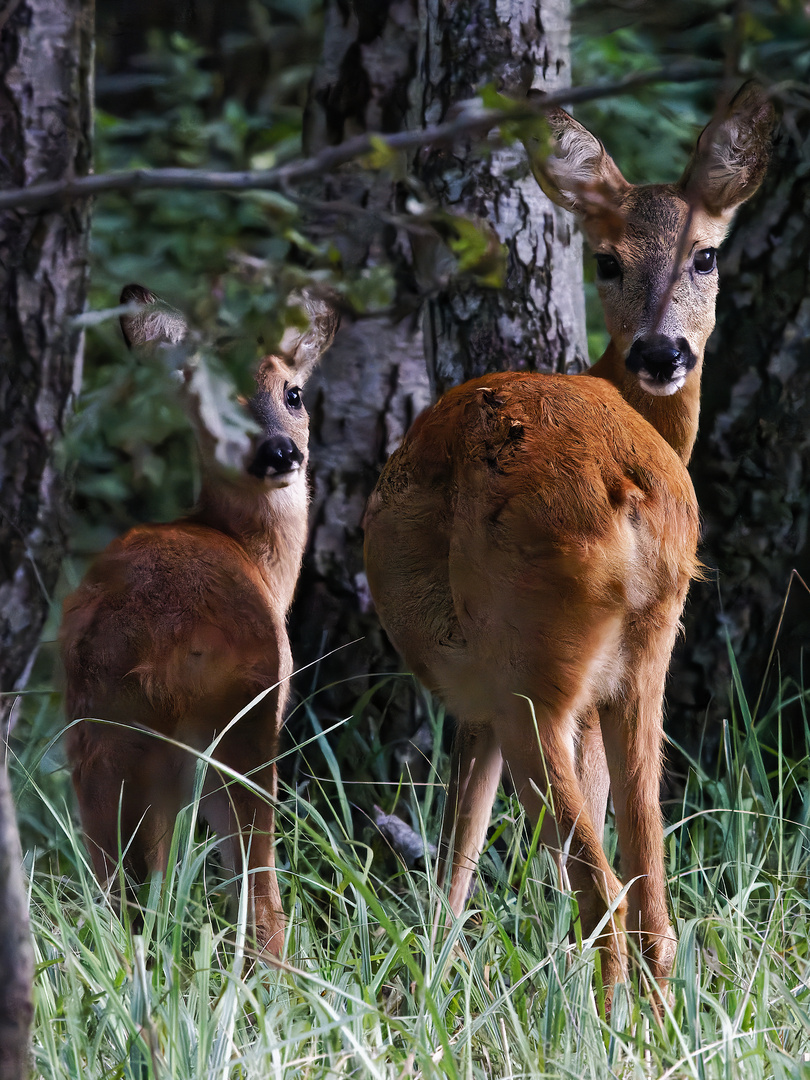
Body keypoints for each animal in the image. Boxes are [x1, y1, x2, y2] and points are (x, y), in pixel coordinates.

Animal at [61, 282, 336, 959]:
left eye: (293, 393)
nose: (281, 452)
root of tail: (150, 646)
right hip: (238, 720)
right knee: (253, 877)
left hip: (95, 731)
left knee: (120, 882)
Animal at [365, 86, 777, 1002]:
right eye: (607, 262)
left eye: (706, 256)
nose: (662, 351)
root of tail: (627, 486)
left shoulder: (477, 700)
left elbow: (460, 851)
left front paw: (432, 981)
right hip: (647, 654)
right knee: (653, 903)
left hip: (530, 669)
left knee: (603, 897)